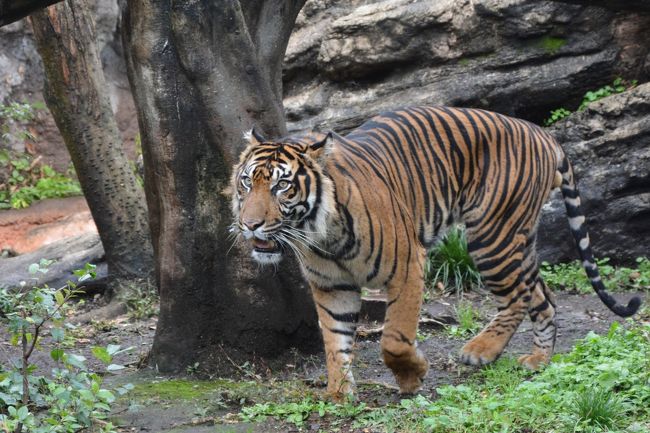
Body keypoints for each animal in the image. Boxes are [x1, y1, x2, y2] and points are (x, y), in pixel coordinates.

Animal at [229, 104, 636, 398]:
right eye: (247, 182)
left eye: (282, 187)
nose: (249, 224)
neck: (320, 234)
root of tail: (541, 132)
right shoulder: (332, 286)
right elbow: (335, 342)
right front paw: (338, 394)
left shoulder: (408, 265)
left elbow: (394, 338)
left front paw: (412, 377)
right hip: (516, 240)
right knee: (542, 296)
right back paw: (537, 359)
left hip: (492, 236)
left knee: (518, 297)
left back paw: (482, 350)